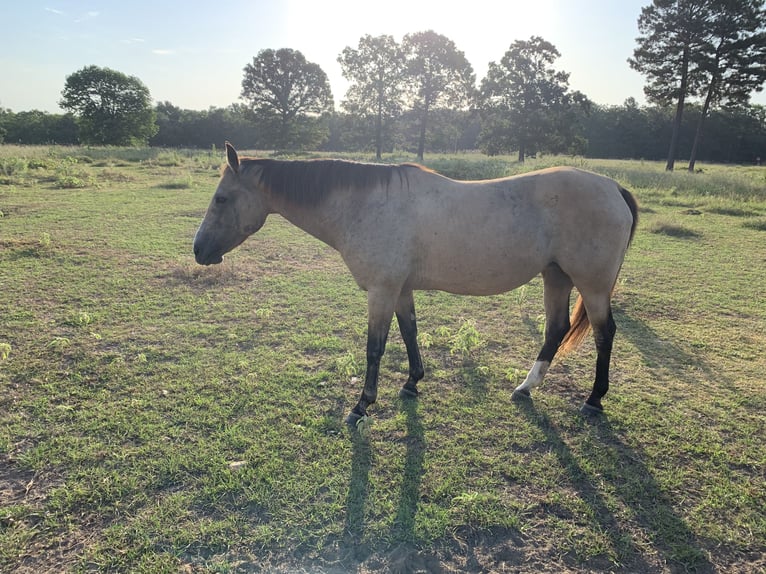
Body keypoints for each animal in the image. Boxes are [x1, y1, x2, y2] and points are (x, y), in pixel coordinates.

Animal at [195, 142, 640, 426]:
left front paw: (361, 407)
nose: (198, 250)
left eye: (221, 199)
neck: (366, 204)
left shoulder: (381, 290)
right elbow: (409, 331)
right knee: (556, 329)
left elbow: (374, 348)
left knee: (604, 334)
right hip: (555, 276)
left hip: (592, 286)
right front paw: (412, 383)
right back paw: (526, 387)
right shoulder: (401, 289)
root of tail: (613, 187)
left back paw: (593, 400)